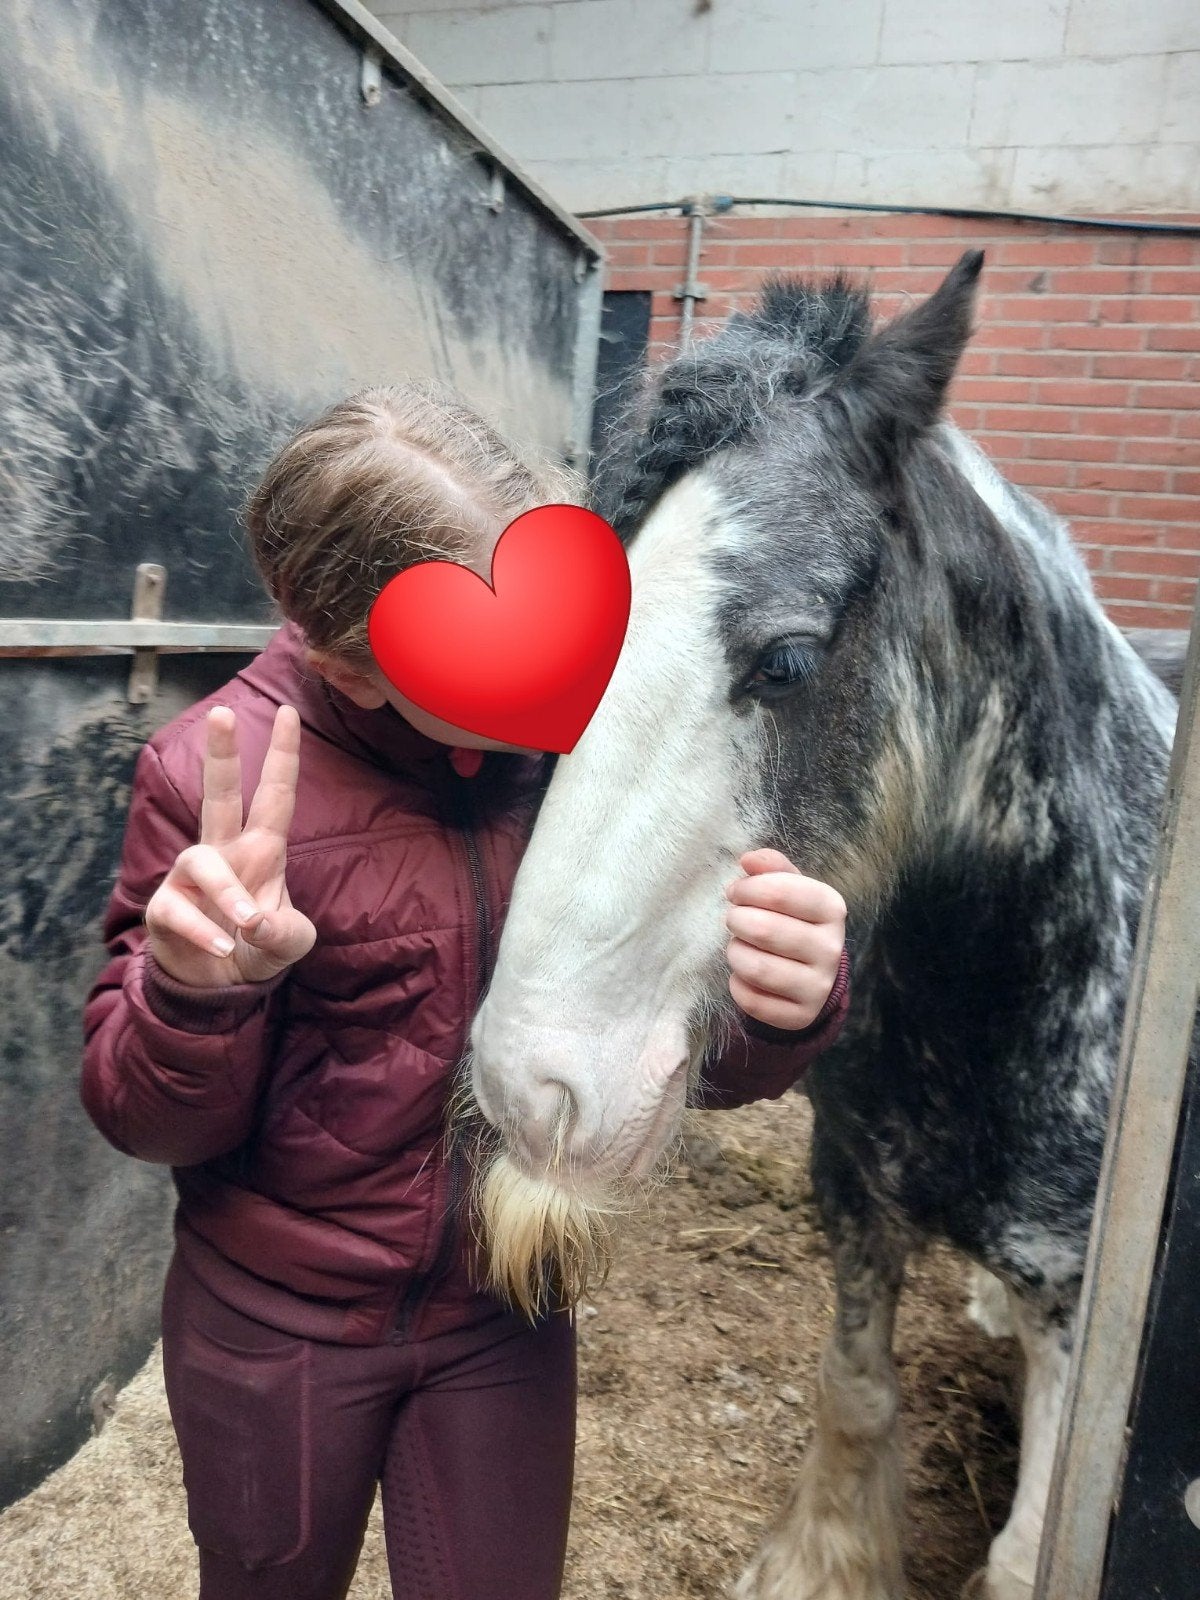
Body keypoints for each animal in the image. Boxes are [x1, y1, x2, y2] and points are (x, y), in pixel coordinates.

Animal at [462, 251, 1183, 1599]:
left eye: (788, 662)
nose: (533, 1089)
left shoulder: (1077, 1308)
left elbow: (1027, 1551)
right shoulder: (854, 1196)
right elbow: (855, 1394)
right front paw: (820, 1563)